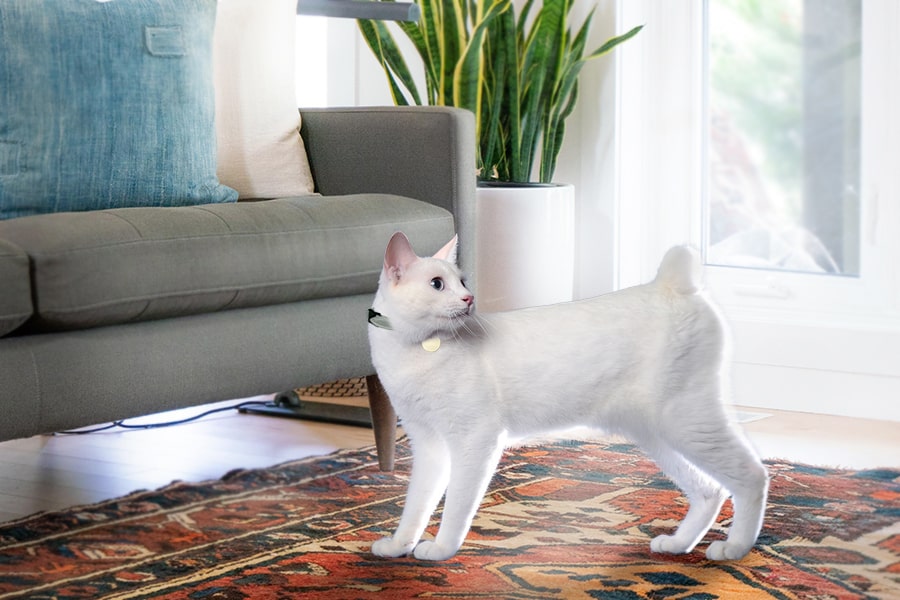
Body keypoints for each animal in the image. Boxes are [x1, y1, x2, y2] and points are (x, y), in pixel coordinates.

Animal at [370, 231, 768, 564]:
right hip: (657, 434)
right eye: (438, 284)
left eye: (461, 282)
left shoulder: (475, 440)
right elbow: (416, 505)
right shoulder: (429, 446)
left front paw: (441, 549)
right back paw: (678, 544)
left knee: (753, 476)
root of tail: (671, 284)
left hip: (687, 421)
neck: (418, 350)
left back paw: (735, 547)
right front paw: (399, 546)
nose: (469, 299)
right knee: (709, 491)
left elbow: (455, 506)